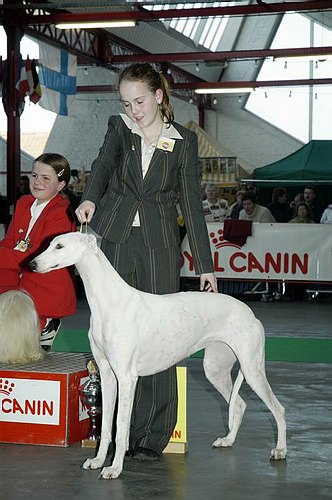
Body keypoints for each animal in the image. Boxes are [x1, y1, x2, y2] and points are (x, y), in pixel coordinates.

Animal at [29, 234, 286, 480]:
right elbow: (106, 427)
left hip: (252, 370)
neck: (110, 301)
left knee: (278, 408)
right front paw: (98, 460)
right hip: (215, 369)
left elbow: (121, 427)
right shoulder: (107, 374)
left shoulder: (126, 378)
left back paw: (280, 450)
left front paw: (115, 469)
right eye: (49, 243)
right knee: (239, 404)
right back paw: (228, 440)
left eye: (60, 246)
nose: (31, 264)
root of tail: (249, 312)